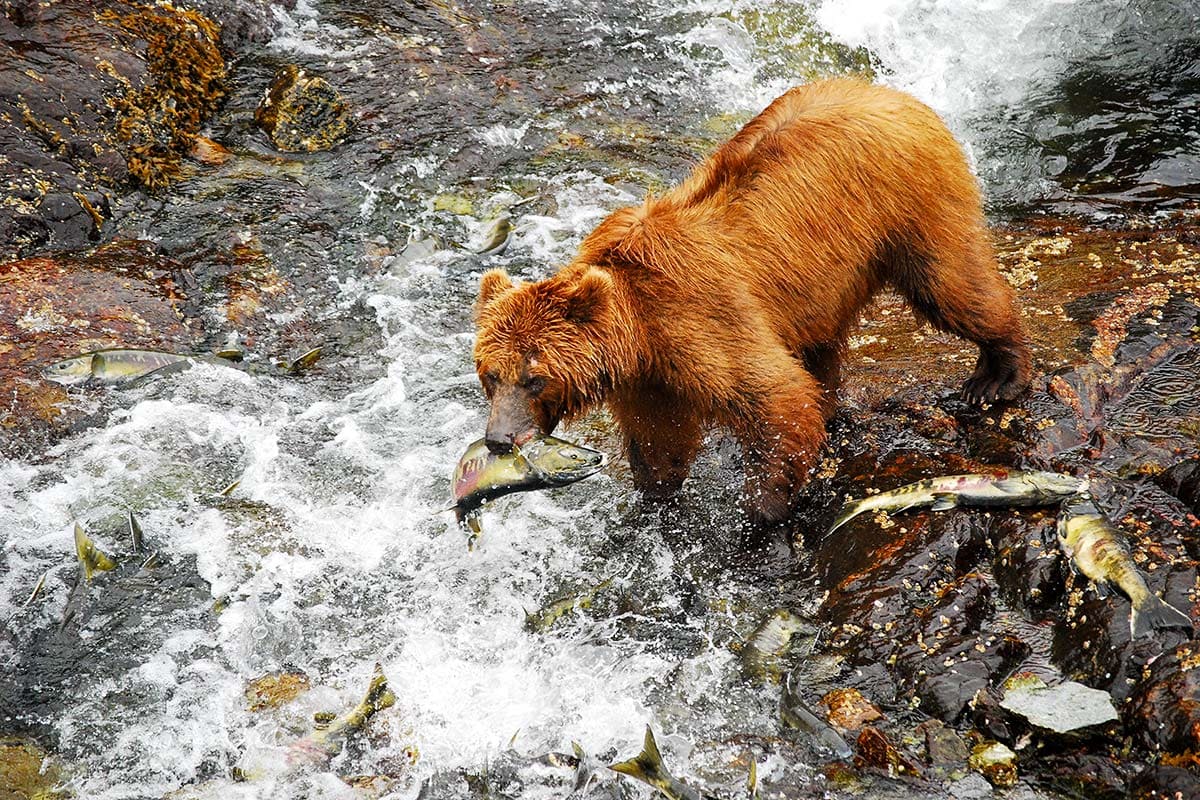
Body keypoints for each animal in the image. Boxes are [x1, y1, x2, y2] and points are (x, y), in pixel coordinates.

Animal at [472, 78, 1031, 525]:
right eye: (490, 375)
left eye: (534, 377)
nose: (499, 438)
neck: (639, 332)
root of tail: (897, 93)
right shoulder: (647, 377)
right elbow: (659, 439)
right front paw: (655, 496)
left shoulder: (698, 318)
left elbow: (775, 397)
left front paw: (761, 508)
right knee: (822, 351)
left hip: (911, 208)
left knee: (952, 286)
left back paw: (996, 376)